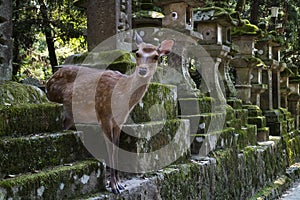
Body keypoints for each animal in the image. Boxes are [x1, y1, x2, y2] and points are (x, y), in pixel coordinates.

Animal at [45, 35, 175, 194]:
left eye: (156, 56)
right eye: (137, 53)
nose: (143, 70)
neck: (121, 97)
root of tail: (48, 82)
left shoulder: (120, 120)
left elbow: (117, 148)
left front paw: (119, 183)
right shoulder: (103, 114)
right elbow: (110, 149)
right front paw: (113, 186)